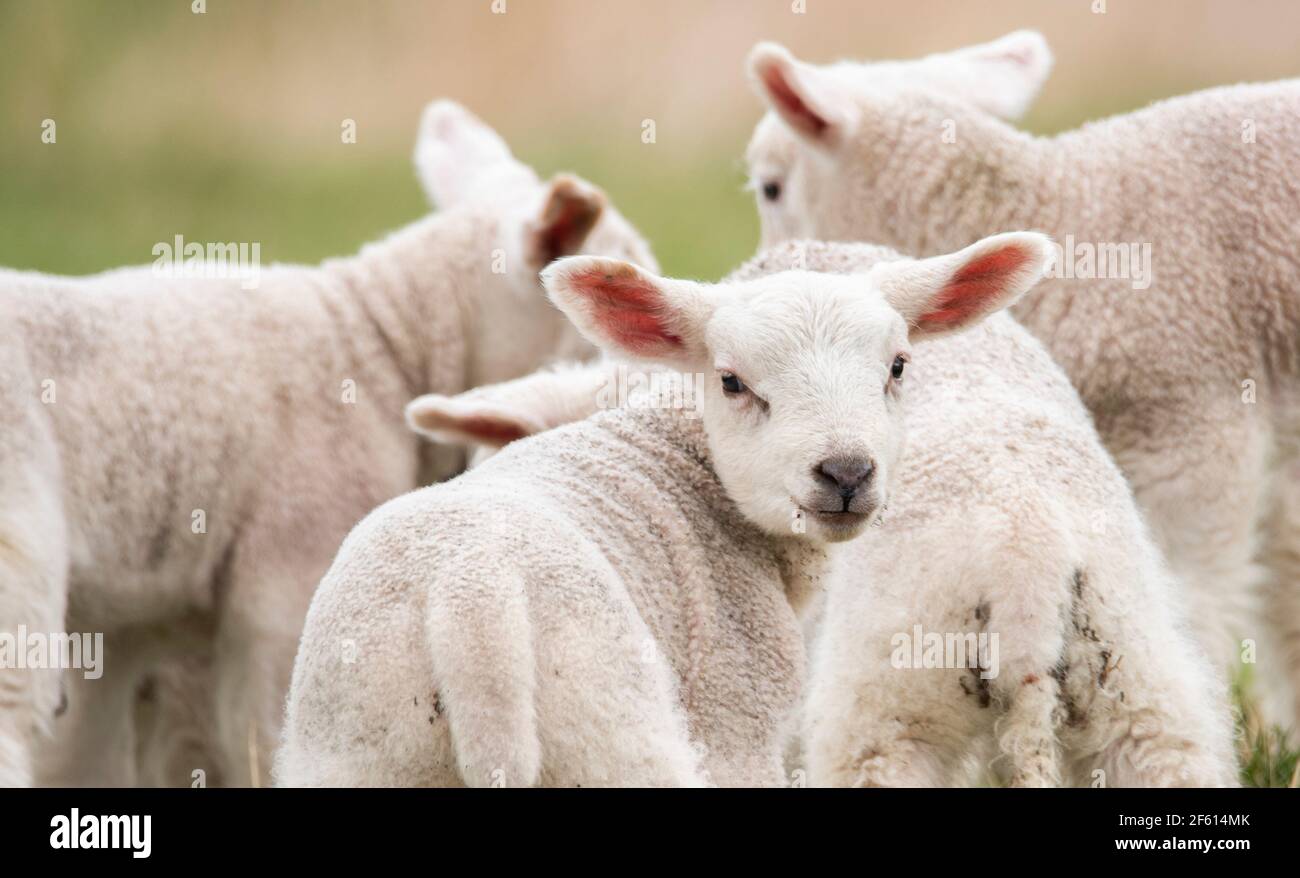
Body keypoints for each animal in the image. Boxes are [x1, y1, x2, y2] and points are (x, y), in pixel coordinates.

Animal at [5, 98, 660, 790]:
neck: (380, 346)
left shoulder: (125, 622)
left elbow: (83, 754)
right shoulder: (289, 569)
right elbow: (265, 726)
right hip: (19, 543)